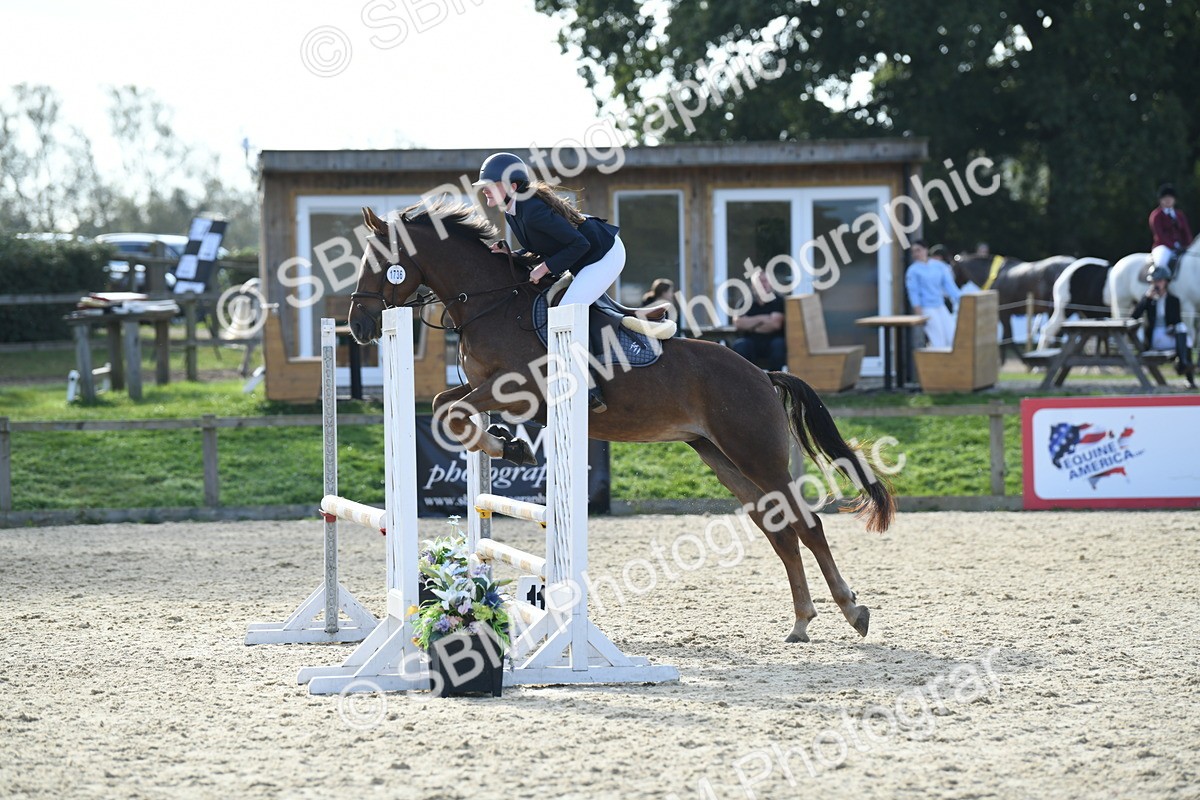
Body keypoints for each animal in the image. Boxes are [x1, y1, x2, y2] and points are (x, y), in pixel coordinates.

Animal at [347, 201, 895, 645]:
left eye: (376, 262)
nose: (359, 326)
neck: (491, 304)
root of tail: (761, 372)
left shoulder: (520, 391)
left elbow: (449, 412)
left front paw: (508, 445)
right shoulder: (487, 389)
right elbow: (446, 403)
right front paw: (504, 442)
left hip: (757, 455)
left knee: (808, 524)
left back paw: (852, 611)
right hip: (720, 457)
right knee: (780, 531)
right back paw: (801, 621)